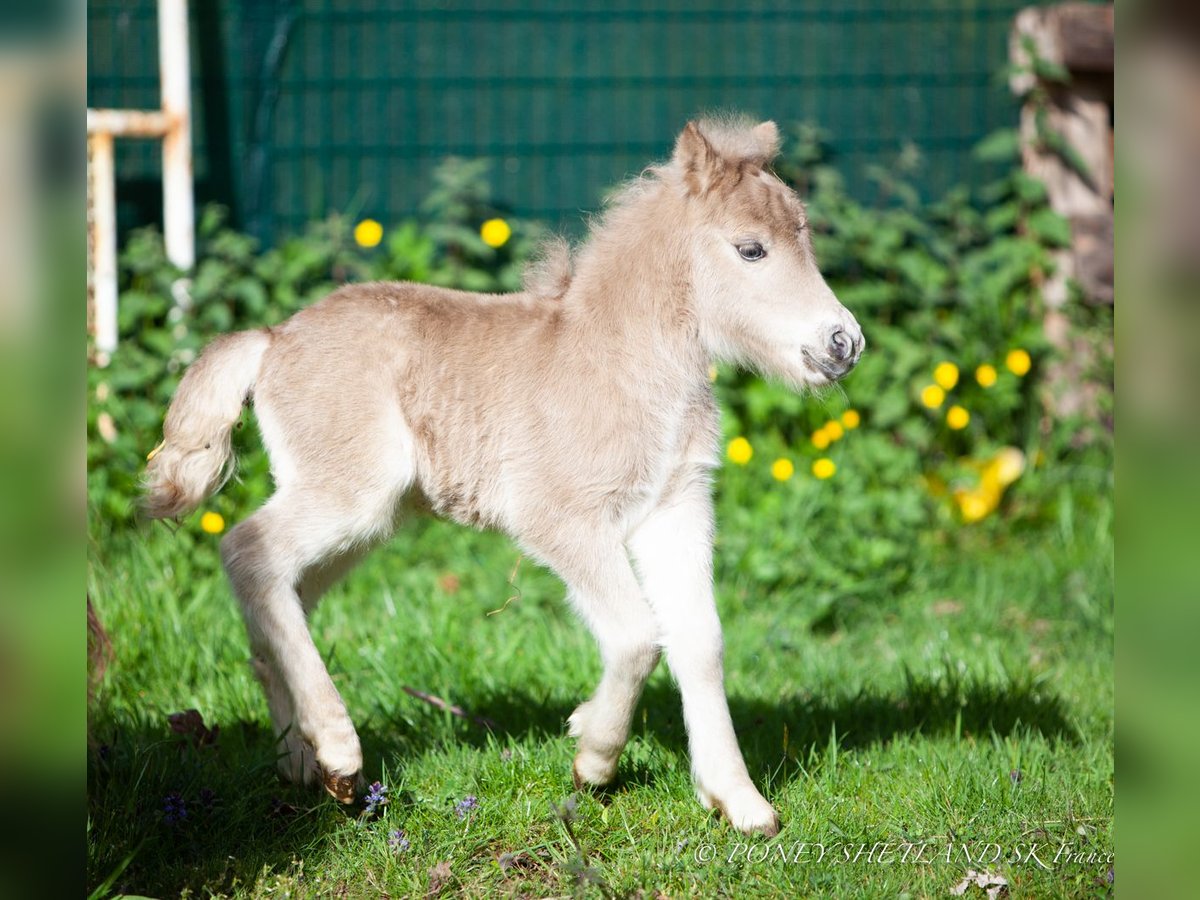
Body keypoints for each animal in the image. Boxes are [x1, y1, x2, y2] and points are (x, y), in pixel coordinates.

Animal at [145, 120, 864, 840]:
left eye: (805, 238)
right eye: (751, 249)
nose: (844, 343)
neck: (622, 362)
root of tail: (273, 337)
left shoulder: (675, 509)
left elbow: (700, 640)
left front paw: (739, 801)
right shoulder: (561, 518)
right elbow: (637, 635)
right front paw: (592, 755)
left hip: (364, 520)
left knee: (279, 592)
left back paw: (302, 761)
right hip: (348, 495)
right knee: (246, 550)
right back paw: (341, 752)